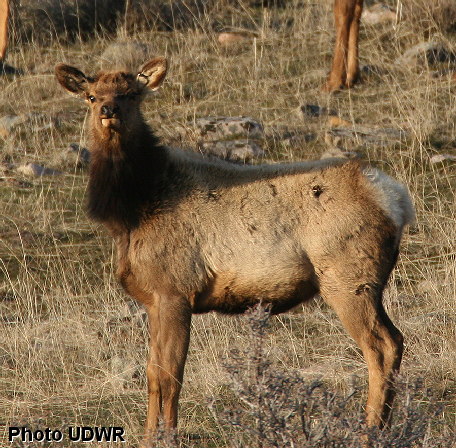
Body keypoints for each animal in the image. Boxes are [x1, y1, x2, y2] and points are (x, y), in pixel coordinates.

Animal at [56, 57, 414, 440]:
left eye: (132, 94)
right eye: (91, 96)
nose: (108, 110)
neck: (134, 209)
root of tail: (395, 199)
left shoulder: (176, 289)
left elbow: (170, 374)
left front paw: (168, 435)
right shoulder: (152, 299)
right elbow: (152, 373)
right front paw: (149, 435)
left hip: (348, 279)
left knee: (381, 346)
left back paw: (370, 429)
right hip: (365, 283)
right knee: (395, 341)